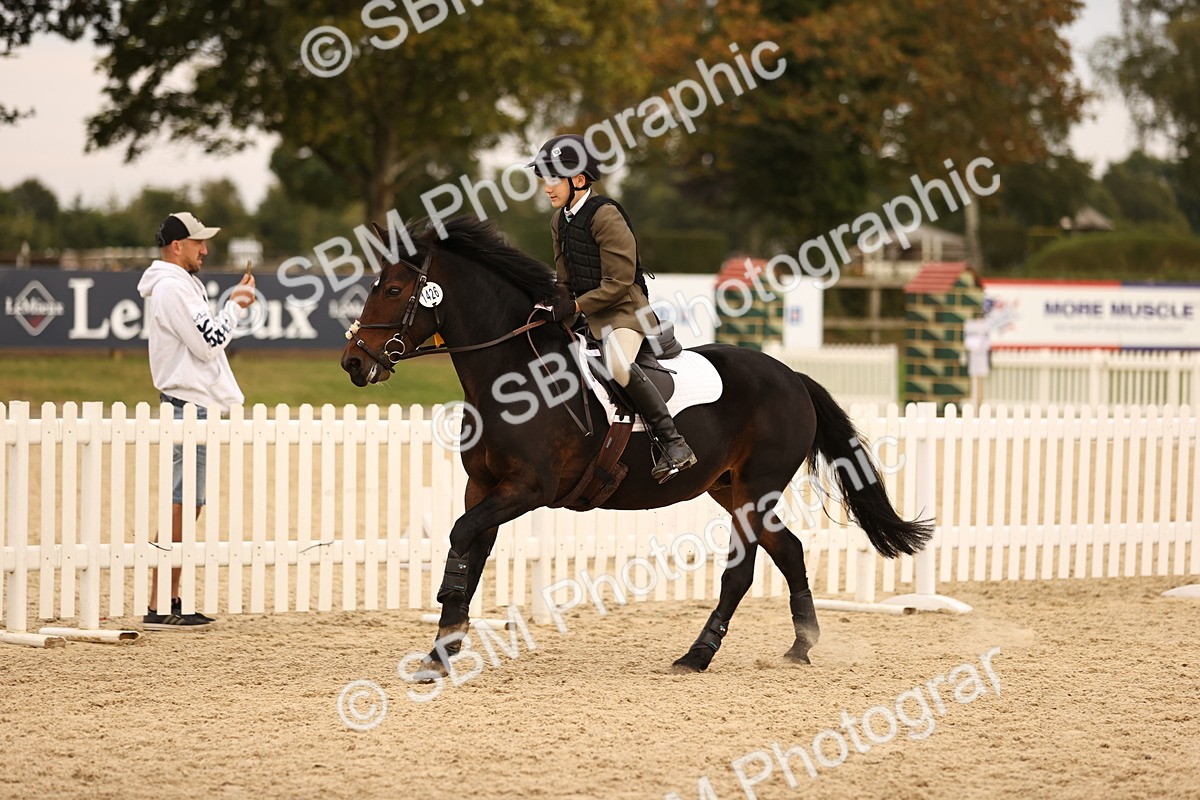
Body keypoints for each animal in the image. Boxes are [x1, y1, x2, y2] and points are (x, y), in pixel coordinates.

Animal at [340, 216, 931, 676]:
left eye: (393, 290)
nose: (353, 362)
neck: (514, 375)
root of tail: (791, 376)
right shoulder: (482, 486)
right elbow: (471, 548)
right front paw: (442, 649)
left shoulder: (528, 487)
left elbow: (463, 537)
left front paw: (447, 637)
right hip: (729, 488)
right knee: (788, 550)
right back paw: (802, 646)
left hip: (756, 489)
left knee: (741, 572)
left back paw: (697, 655)